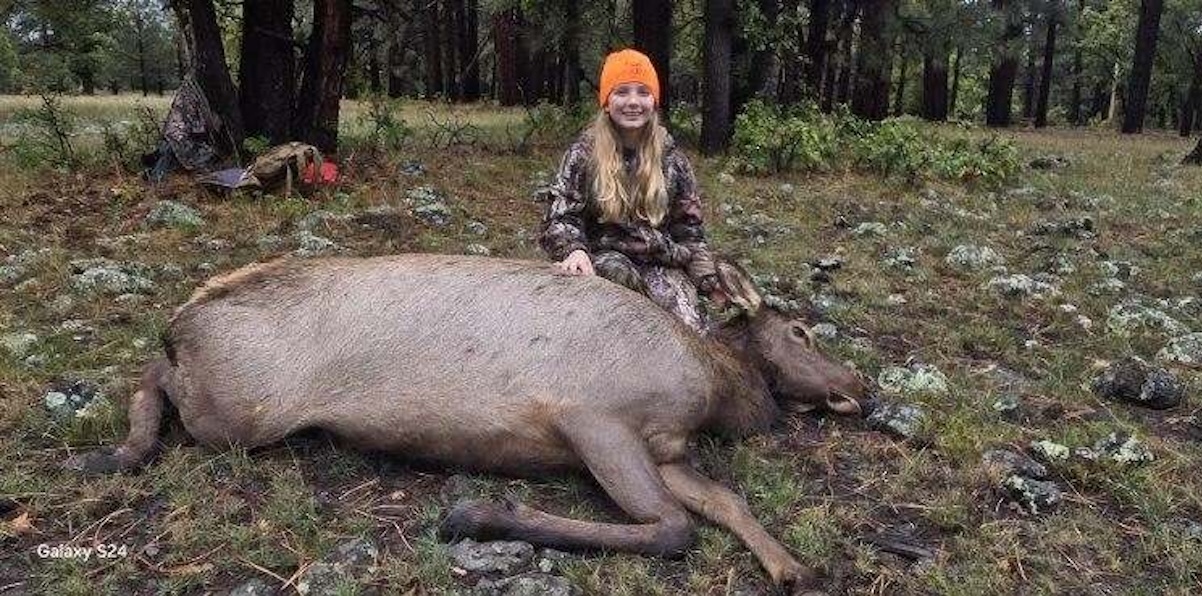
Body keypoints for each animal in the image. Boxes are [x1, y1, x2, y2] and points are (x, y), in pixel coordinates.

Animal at [66, 253, 874, 593]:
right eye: (801, 331)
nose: (860, 386)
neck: (709, 390)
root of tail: (183, 317)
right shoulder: (593, 419)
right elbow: (673, 528)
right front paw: (479, 513)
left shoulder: (667, 448)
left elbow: (725, 502)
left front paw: (792, 567)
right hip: (236, 411)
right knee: (154, 374)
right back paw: (114, 453)